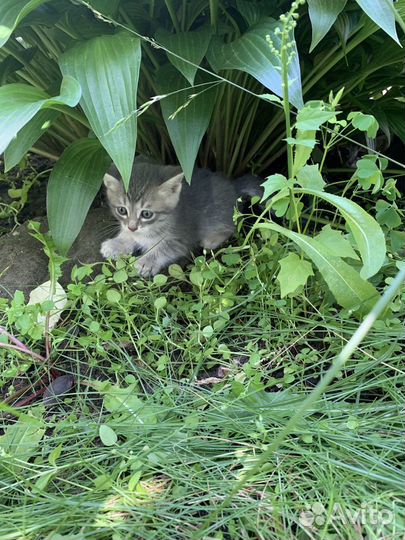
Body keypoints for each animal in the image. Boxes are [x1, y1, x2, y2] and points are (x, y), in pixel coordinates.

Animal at [99, 159, 260, 278]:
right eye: (122, 210)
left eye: (146, 214)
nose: (132, 227)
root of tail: (233, 185)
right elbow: (130, 236)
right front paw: (116, 243)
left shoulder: (181, 240)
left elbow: (163, 248)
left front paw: (146, 262)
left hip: (219, 214)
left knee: (231, 227)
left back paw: (211, 239)